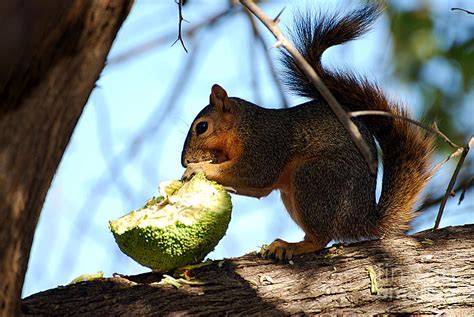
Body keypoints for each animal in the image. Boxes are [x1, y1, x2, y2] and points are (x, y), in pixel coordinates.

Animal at [181, 4, 434, 260]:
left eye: (202, 127)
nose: (185, 161)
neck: (244, 127)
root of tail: (362, 219)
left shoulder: (266, 144)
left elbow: (255, 173)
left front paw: (198, 169)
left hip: (313, 177)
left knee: (321, 238)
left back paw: (292, 246)